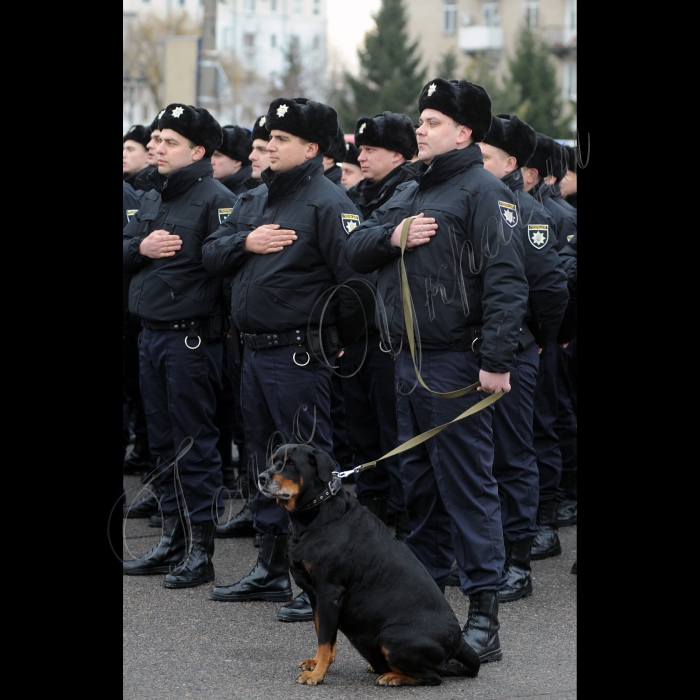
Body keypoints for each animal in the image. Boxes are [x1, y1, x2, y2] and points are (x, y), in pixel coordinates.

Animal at [258, 446, 482, 688]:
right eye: (273, 461)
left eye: (290, 464)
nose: (261, 478)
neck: (316, 513)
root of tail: (457, 641)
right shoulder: (315, 595)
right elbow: (322, 634)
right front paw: (316, 663)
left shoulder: (329, 593)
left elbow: (325, 640)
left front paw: (317, 675)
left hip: (391, 638)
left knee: (434, 676)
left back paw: (393, 677)